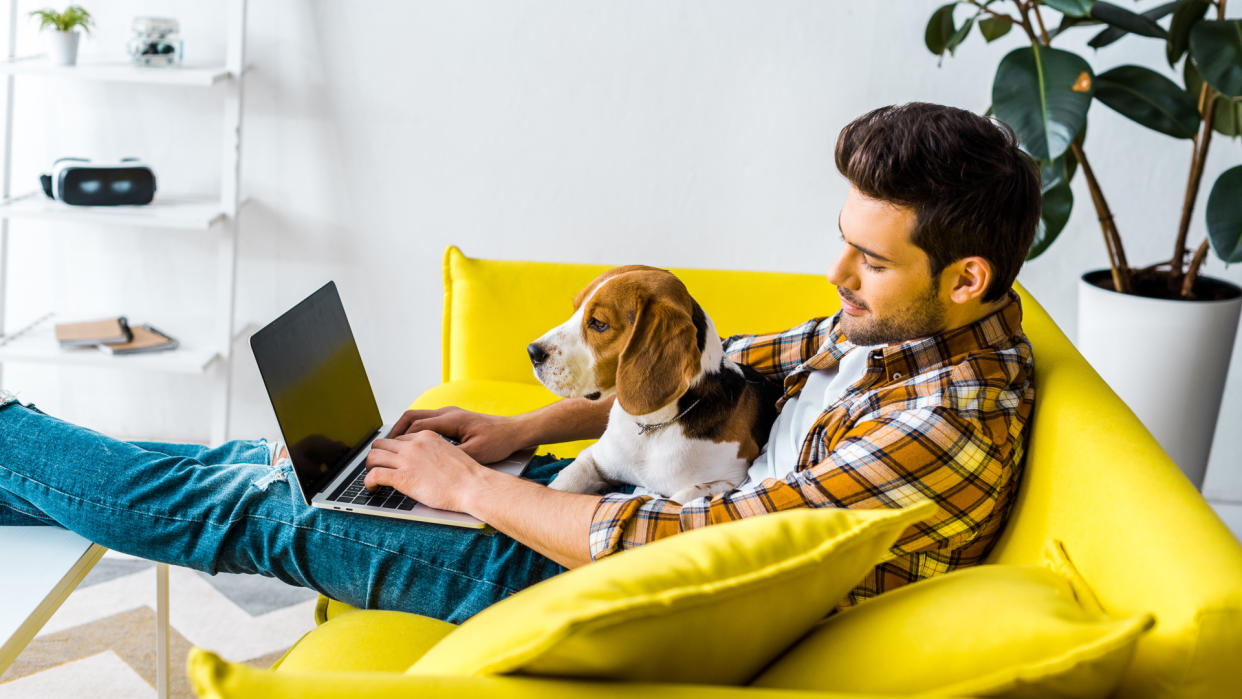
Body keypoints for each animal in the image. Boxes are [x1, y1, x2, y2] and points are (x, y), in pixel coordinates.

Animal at [529, 266, 779, 504]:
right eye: (575, 309)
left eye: (599, 324)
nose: (532, 352)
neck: (652, 426)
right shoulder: (594, 458)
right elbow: (563, 482)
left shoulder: (731, 479)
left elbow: (680, 498)